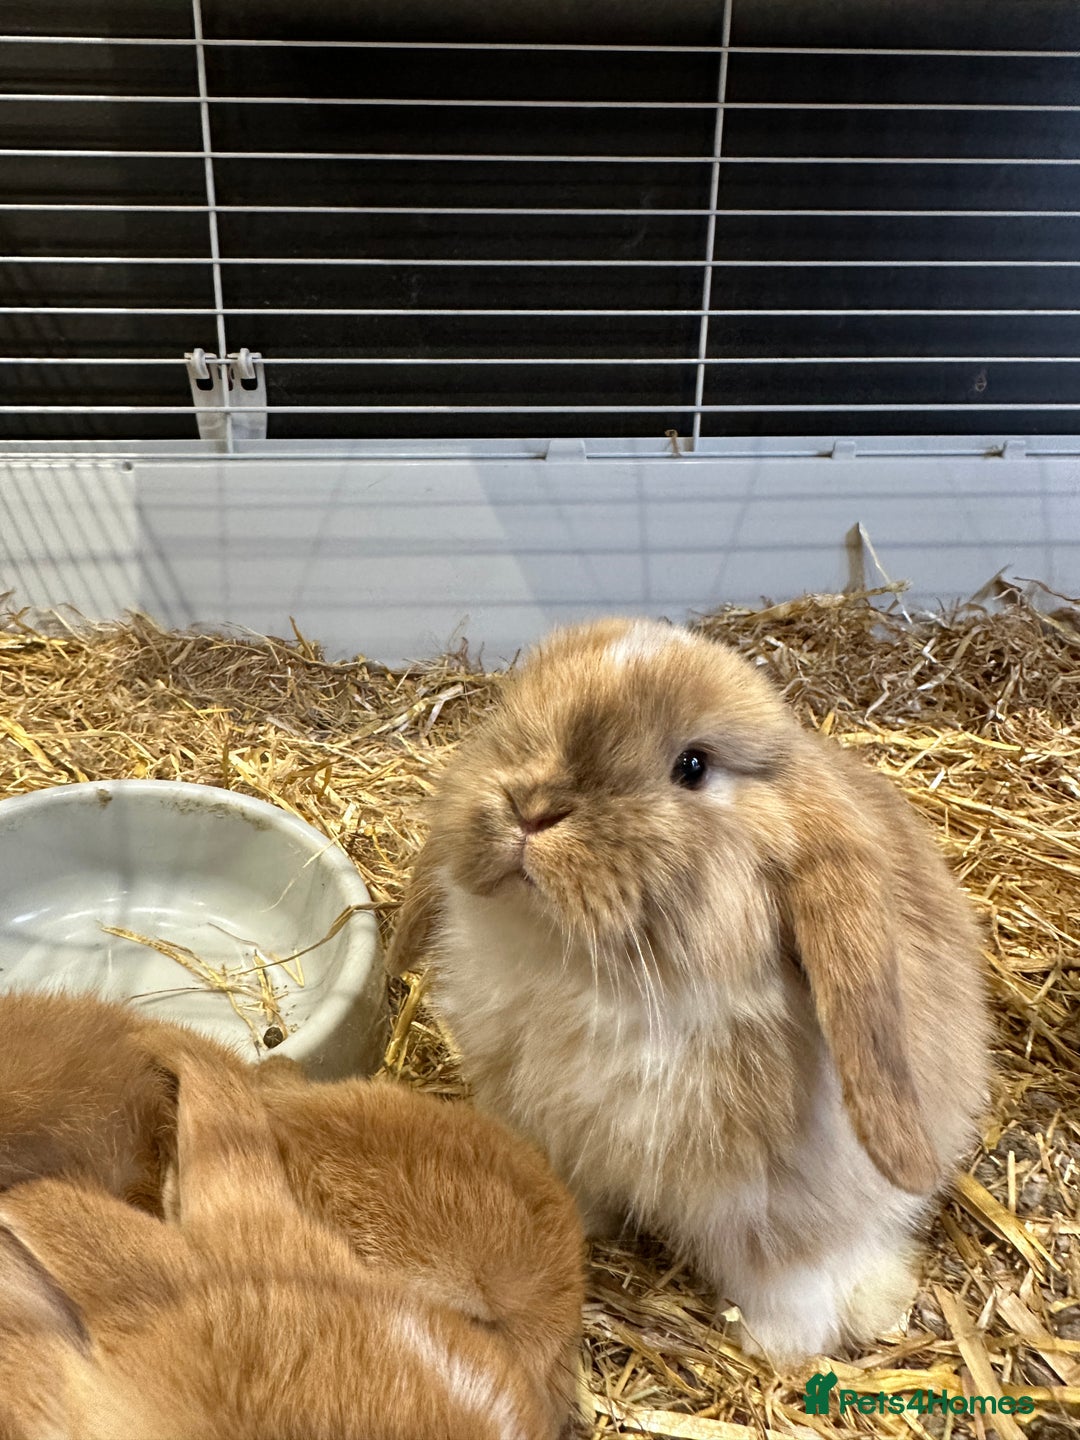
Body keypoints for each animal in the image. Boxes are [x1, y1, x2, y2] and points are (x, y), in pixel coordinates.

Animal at [385, 616, 991, 1364]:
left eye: (693, 766)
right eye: (517, 713)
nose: (531, 807)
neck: (586, 973)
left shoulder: (780, 1206)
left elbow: (786, 1276)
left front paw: (779, 1347)